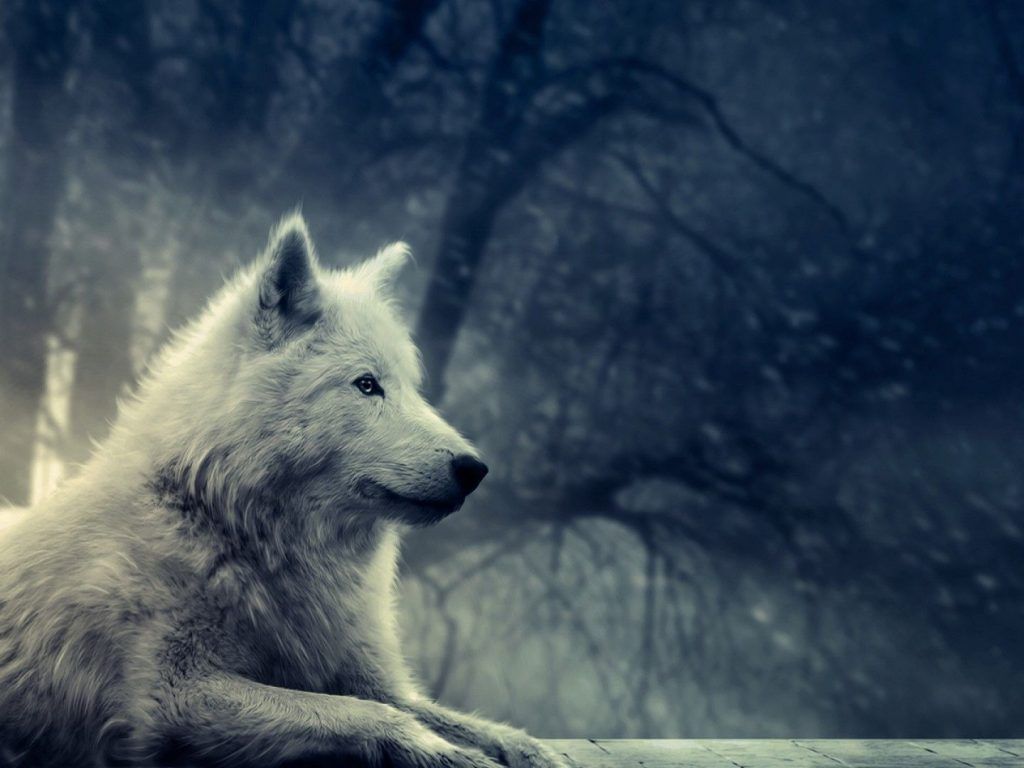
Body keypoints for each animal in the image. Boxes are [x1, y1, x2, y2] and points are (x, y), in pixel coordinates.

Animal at [0, 215, 566, 768]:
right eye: (367, 385)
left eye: (412, 388)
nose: (475, 469)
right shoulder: (171, 697)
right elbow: (365, 714)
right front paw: (446, 753)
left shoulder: (374, 678)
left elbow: (450, 718)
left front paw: (530, 750)